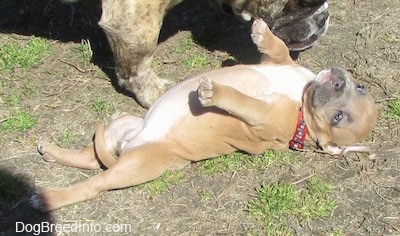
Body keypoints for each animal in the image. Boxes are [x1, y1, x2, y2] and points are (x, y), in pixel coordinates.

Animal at [32, 18, 378, 210]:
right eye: (360, 86)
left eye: (339, 118)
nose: (337, 78)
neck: (302, 103)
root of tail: (132, 147)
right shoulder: (277, 62)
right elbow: (278, 47)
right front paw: (262, 30)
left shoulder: (263, 115)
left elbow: (243, 101)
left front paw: (214, 93)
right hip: (125, 125)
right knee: (91, 157)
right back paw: (51, 151)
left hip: (134, 166)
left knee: (95, 182)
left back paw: (47, 198)